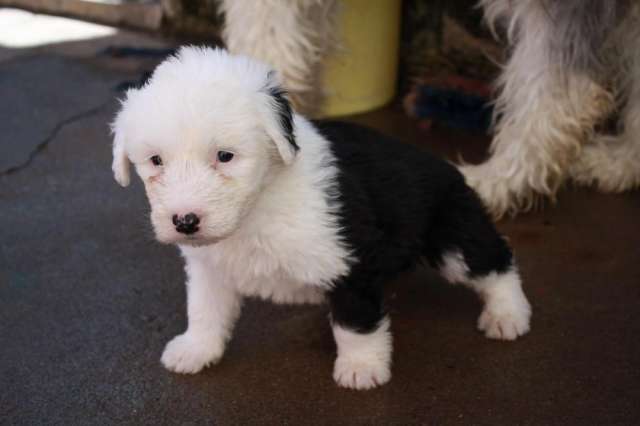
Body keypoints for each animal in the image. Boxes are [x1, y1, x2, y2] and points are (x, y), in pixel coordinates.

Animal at [112, 46, 532, 390]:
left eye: (225, 156)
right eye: (155, 161)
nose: (185, 222)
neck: (259, 205)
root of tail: (445, 163)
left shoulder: (350, 260)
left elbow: (354, 322)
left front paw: (361, 367)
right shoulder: (210, 267)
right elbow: (204, 310)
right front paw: (196, 349)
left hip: (452, 236)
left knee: (495, 262)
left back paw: (508, 315)